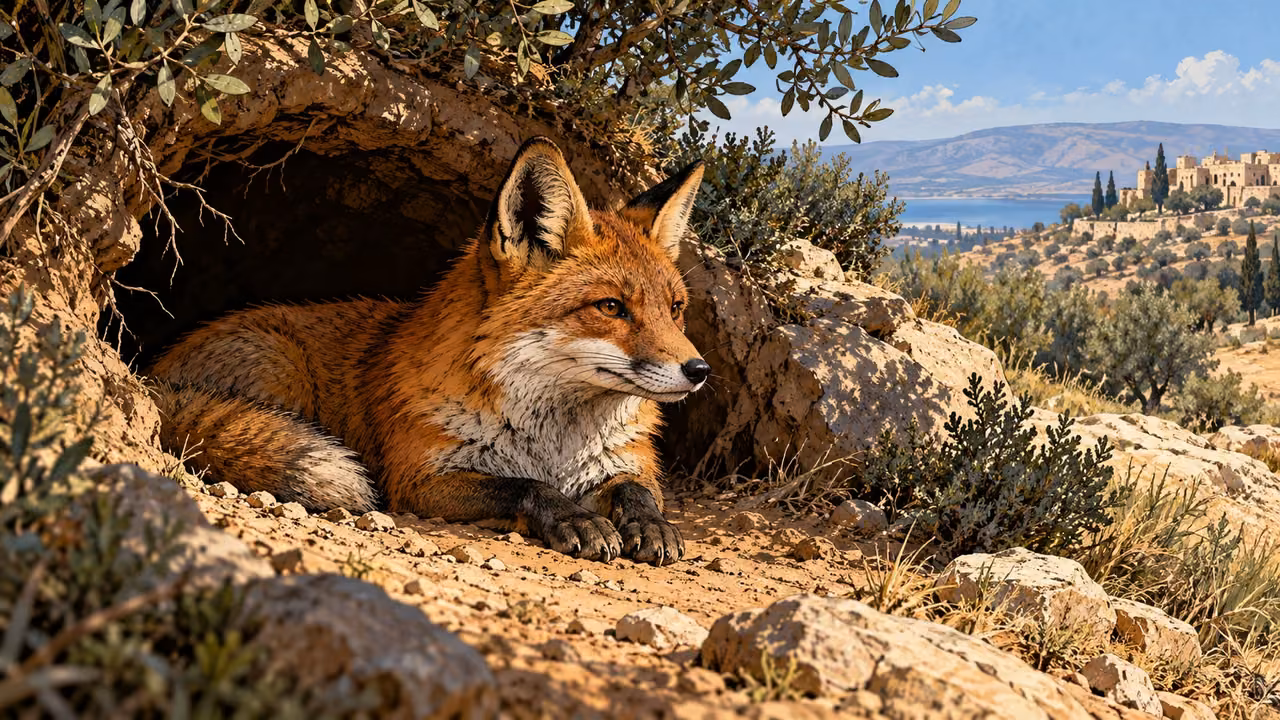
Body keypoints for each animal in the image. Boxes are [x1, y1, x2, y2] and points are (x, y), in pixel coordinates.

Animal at [149, 137, 709, 566]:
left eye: (675, 309)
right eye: (611, 306)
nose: (698, 369)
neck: (553, 442)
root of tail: (152, 375)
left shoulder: (626, 462)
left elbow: (637, 492)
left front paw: (652, 525)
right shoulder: (422, 479)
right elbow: (523, 486)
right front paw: (575, 518)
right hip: (283, 375)